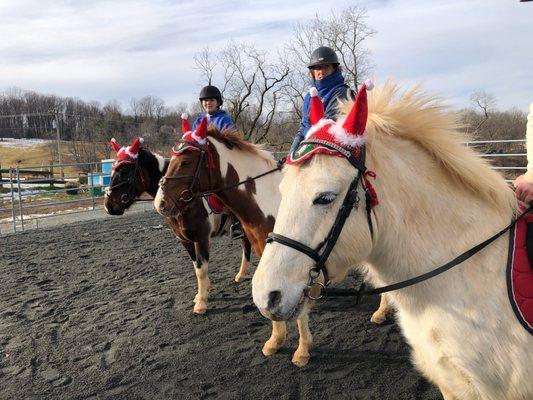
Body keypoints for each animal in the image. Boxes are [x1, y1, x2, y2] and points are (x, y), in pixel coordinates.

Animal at [104, 138, 254, 316]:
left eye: (126, 172)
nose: (108, 206)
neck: (185, 201)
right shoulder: (185, 240)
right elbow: (196, 266)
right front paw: (202, 293)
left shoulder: (201, 238)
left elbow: (201, 269)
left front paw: (201, 303)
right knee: (246, 244)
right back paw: (241, 274)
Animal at [153, 117, 390, 368]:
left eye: (186, 161)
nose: (160, 203)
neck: (268, 202)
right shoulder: (268, 258)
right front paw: (276, 340)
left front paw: (302, 350)